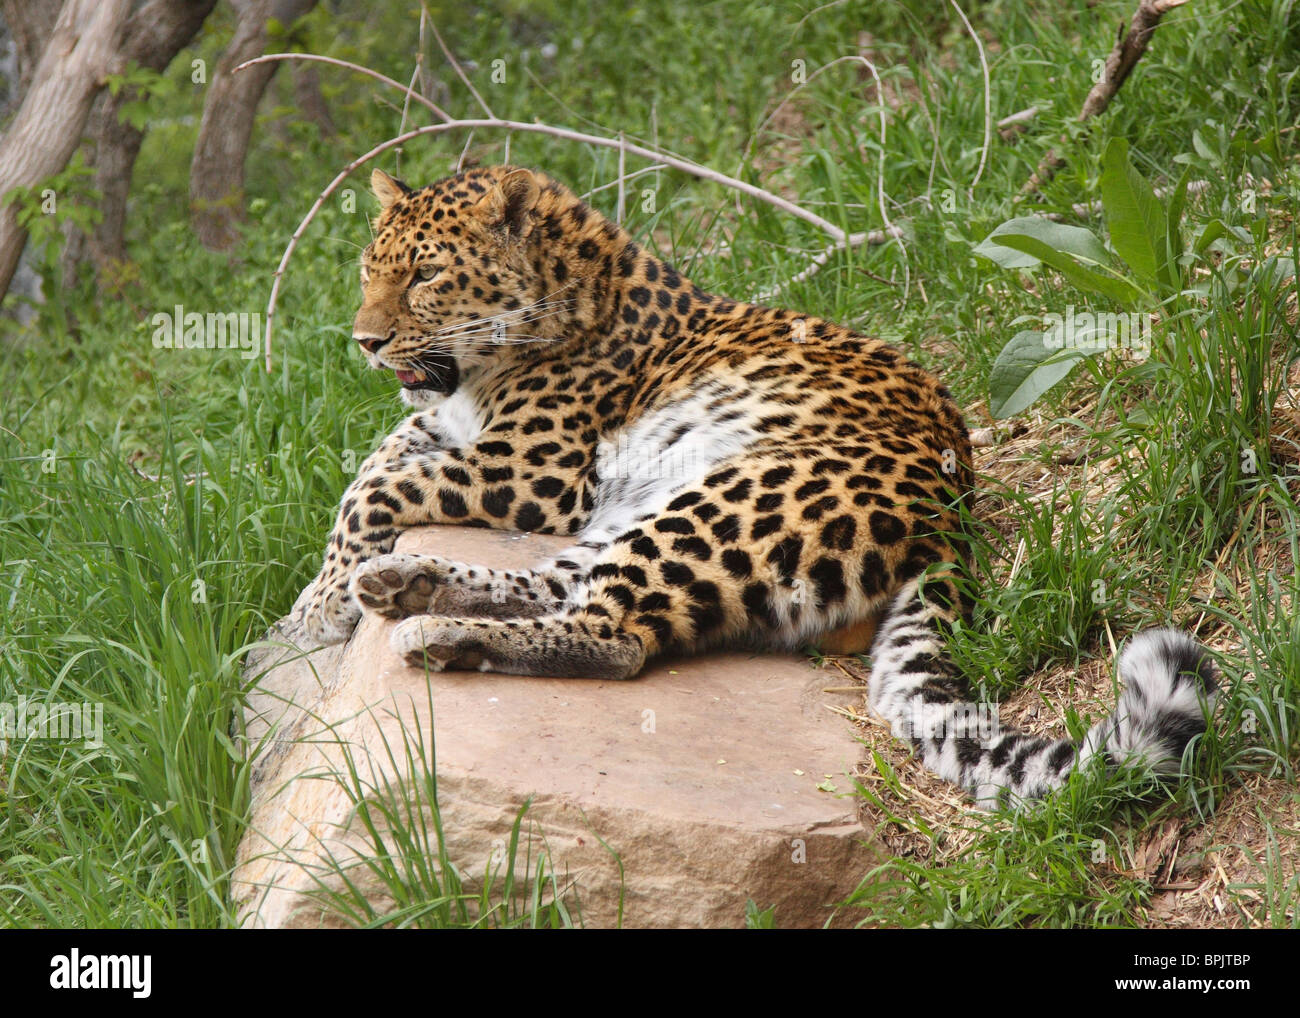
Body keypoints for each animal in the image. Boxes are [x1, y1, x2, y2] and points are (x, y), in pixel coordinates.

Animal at [295, 163, 1216, 806]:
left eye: (426, 275)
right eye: (371, 269)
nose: (364, 341)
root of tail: (954, 518)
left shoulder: (536, 469)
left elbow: (376, 487)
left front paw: (318, 609)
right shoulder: (453, 431)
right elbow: (373, 467)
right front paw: (329, 589)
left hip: (728, 495)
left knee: (614, 631)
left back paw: (438, 631)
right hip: (655, 505)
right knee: (564, 583)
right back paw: (410, 581)